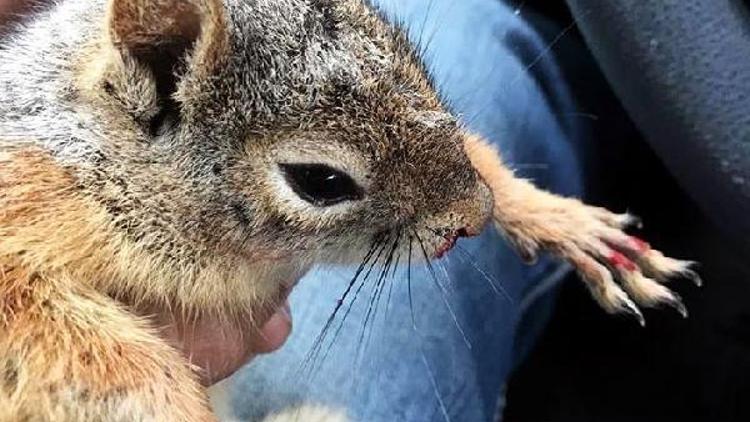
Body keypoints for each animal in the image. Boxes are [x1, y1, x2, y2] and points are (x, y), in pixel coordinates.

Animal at [0, 0, 704, 422]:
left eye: (410, 57)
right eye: (320, 181)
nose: (474, 216)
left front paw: (563, 222)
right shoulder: (28, 202)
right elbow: (107, 362)